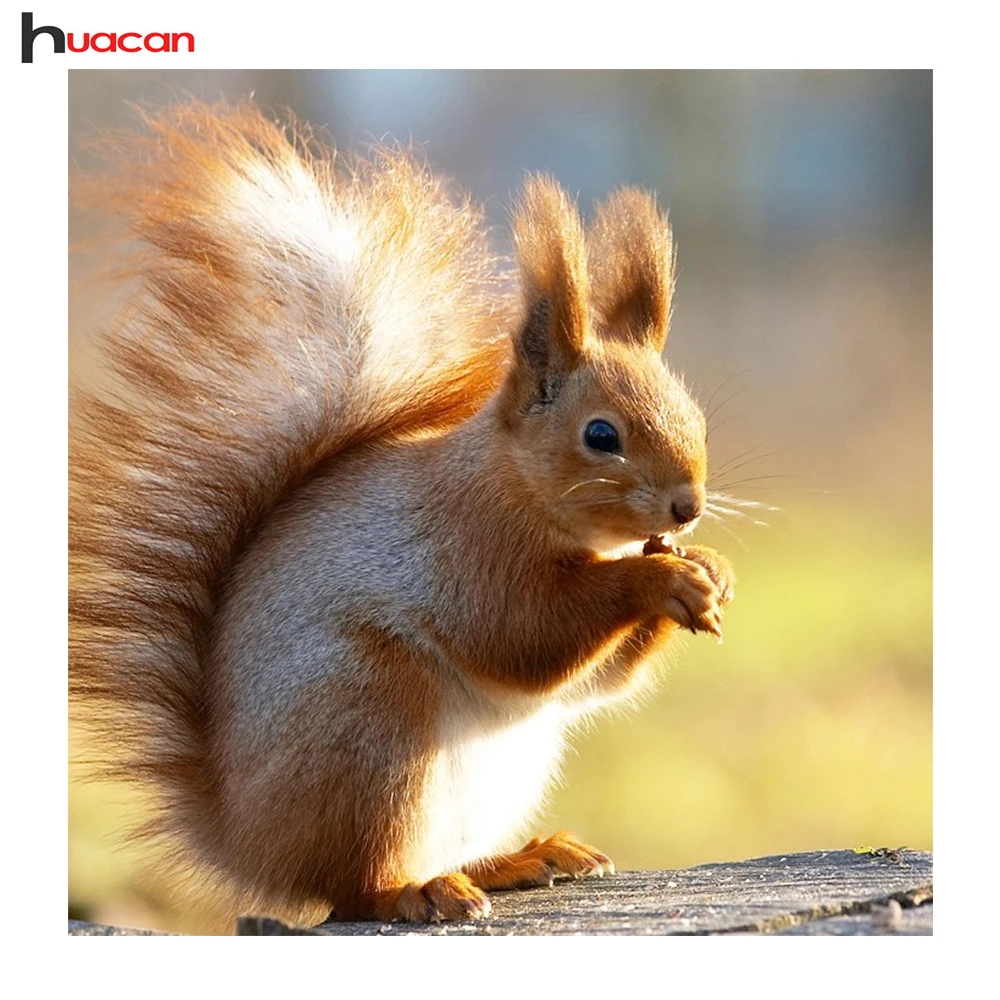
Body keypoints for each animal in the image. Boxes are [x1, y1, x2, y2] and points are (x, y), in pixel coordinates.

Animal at [69, 101, 735, 928]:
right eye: (601, 436)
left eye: (694, 414)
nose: (688, 505)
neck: (509, 484)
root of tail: (246, 841)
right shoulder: (466, 547)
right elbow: (526, 635)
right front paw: (662, 581)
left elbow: (595, 681)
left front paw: (709, 568)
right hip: (371, 719)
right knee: (351, 887)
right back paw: (415, 890)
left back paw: (520, 859)